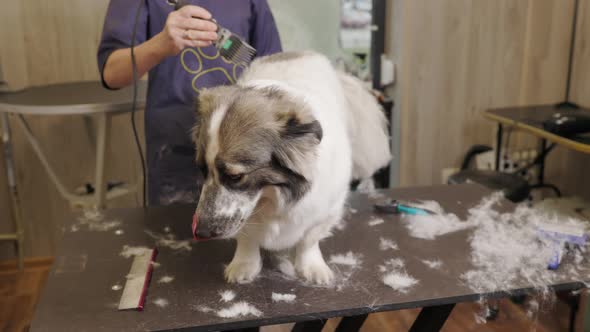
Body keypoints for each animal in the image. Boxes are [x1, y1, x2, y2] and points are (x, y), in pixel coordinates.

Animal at [192, 50, 390, 284]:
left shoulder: (326, 211)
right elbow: (247, 239)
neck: (271, 197)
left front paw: (312, 267)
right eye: (202, 170)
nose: (201, 232)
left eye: (235, 177)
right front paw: (244, 265)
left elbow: (309, 240)